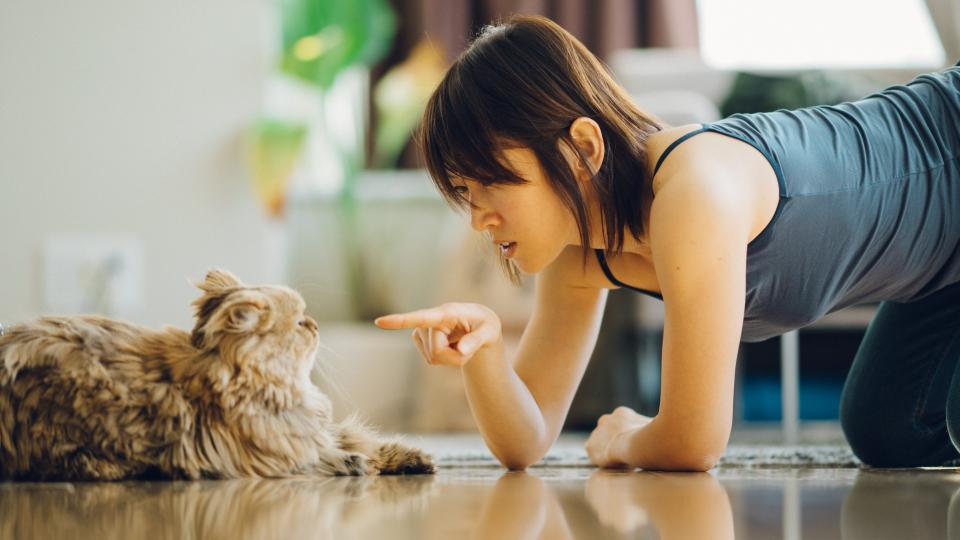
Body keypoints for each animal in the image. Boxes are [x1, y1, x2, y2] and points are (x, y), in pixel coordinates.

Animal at [0, 270, 436, 480]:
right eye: (299, 322)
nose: (313, 324)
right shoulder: (279, 452)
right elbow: (336, 456)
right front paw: (356, 464)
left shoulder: (320, 429)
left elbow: (364, 439)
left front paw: (414, 456)